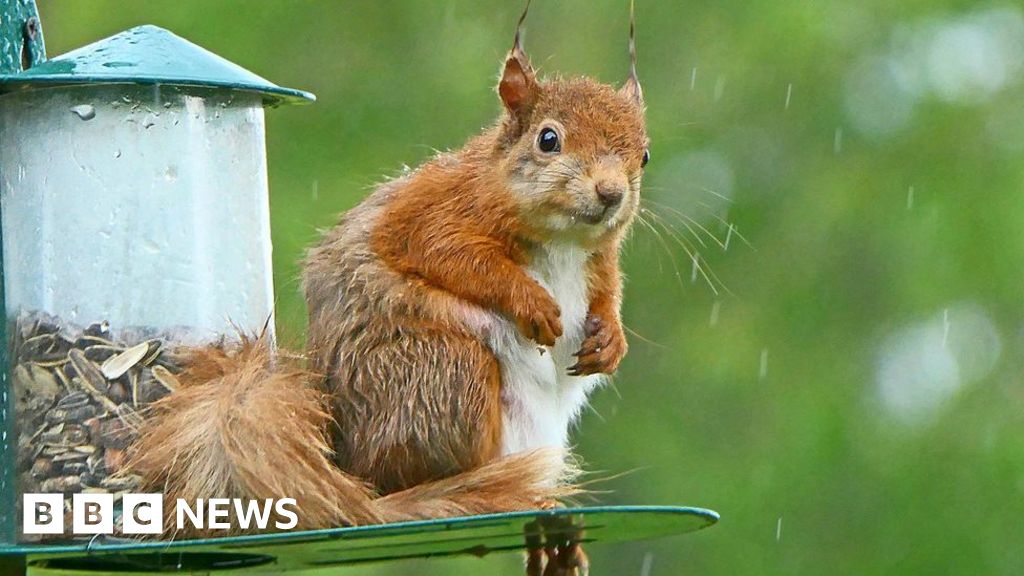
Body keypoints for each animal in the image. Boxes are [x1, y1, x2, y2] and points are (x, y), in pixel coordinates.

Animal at [125, 2, 638, 557]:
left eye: (644, 155)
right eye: (549, 139)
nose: (611, 194)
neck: (564, 239)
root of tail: (358, 489)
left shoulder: (598, 263)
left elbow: (607, 292)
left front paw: (611, 339)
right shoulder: (428, 215)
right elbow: (455, 258)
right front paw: (533, 303)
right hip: (448, 372)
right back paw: (477, 494)